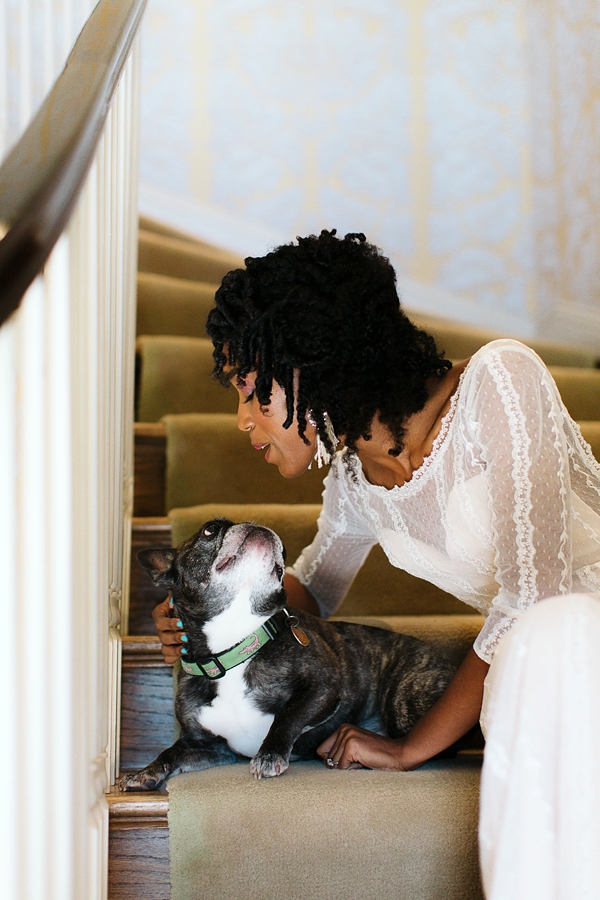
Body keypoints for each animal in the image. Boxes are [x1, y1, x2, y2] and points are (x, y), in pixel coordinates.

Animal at [118, 520, 454, 788]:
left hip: (403, 705)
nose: (255, 523)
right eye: (209, 530)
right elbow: (172, 751)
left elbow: (289, 714)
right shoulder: (207, 746)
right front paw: (143, 772)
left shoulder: (325, 684)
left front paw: (269, 753)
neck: (235, 646)